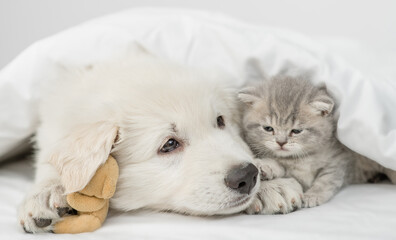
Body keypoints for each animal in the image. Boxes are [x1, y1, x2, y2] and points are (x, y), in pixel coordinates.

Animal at [17, 55, 302, 232]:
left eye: (220, 121)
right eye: (169, 145)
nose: (246, 176)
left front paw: (271, 184)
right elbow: (52, 159)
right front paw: (48, 194)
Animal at [238, 74, 396, 210]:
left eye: (296, 131)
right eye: (268, 128)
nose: (281, 142)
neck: (302, 158)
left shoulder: (340, 160)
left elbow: (326, 180)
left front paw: (313, 196)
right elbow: (283, 166)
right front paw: (266, 165)